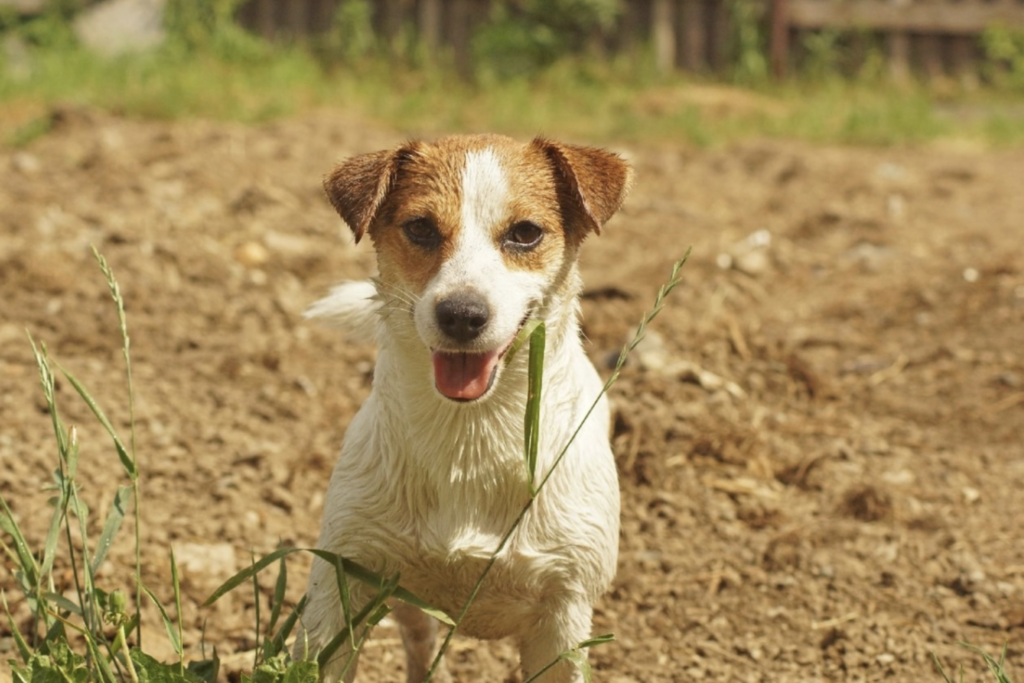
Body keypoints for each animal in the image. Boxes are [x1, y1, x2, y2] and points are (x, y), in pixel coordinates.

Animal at [296, 135, 630, 683]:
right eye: (421, 228)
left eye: (525, 233)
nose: (461, 314)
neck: (469, 438)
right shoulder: (342, 578)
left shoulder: (563, 612)